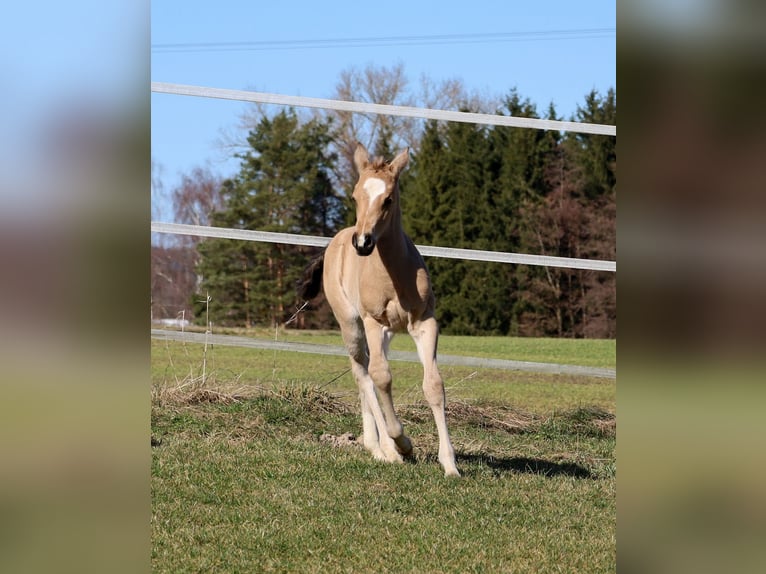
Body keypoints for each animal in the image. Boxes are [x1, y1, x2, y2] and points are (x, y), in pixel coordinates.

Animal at [298, 142, 459, 477]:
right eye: (354, 196)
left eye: (388, 199)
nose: (363, 243)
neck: (393, 275)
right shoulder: (373, 321)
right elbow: (381, 377)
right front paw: (402, 443)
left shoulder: (424, 322)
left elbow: (434, 385)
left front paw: (450, 464)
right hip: (351, 323)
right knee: (363, 372)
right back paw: (384, 449)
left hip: (383, 333)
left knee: (366, 373)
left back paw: (375, 446)